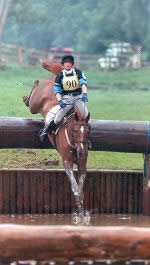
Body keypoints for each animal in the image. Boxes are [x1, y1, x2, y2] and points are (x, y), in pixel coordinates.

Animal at [22, 59, 90, 212]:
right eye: (75, 131)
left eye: (88, 130)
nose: (81, 151)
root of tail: (53, 79)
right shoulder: (67, 163)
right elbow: (75, 188)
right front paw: (79, 207)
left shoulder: (82, 164)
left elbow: (81, 188)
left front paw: (81, 206)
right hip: (35, 104)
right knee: (32, 98)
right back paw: (27, 95)